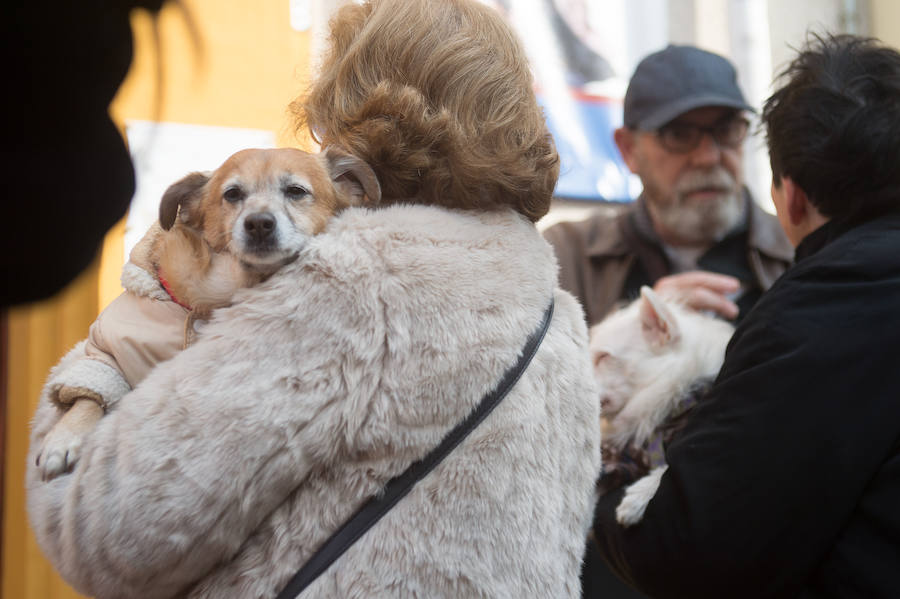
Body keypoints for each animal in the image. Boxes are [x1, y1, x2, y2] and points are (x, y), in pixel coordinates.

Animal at [34, 148, 380, 480]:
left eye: (296, 191)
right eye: (232, 194)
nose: (258, 223)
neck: (220, 288)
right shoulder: (108, 354)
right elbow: (89, 395)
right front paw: (64, 437)